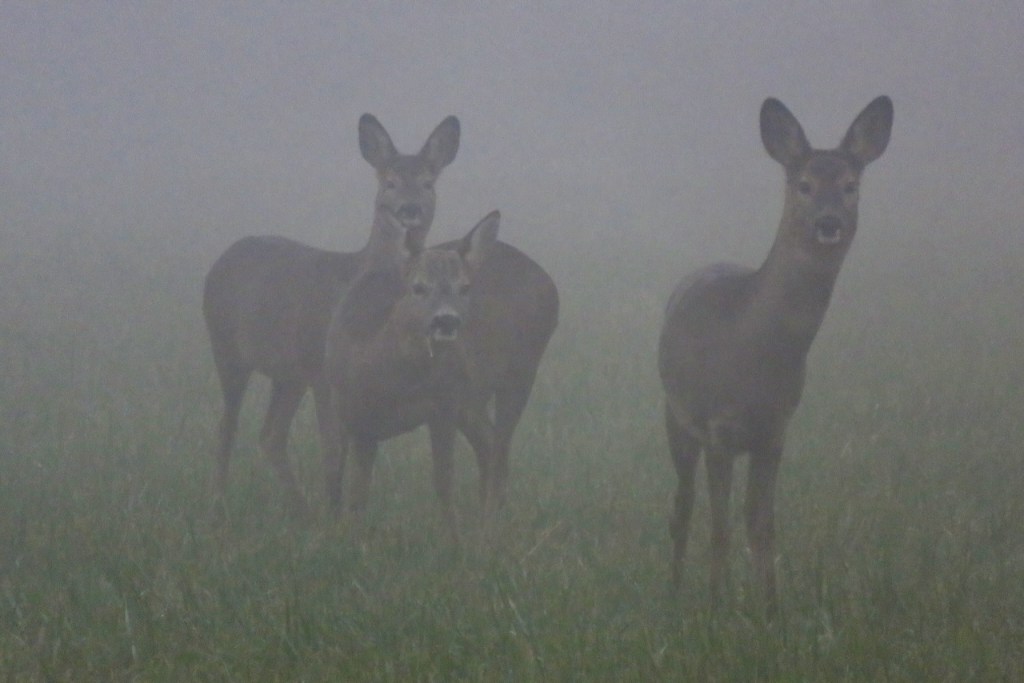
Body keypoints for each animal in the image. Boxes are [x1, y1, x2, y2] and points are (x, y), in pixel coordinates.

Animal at [203, 114, 460, 518]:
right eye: (389, 182)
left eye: (428, 183)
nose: (409, 211)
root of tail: (221, 260)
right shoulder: (326, 375)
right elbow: (333, 451)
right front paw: (336, 515)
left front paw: (339, 511)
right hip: (227, 347)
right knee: (227, 426)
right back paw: (218, 501)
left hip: (289, 374)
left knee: (271, 435)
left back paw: (302, 510)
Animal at [322, 211, 501, 539]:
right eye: (418, 287)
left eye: (465, 287)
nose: (446, 320)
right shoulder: (358, 416)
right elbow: (356, 489)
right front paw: (349, 537)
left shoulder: (444, 405)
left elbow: (443, 478)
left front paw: (453, 537)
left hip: (468, 396)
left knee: (491, 441)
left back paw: (490, 518)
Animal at [658, 96, 893, 613]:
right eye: (803, 184)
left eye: (851, 186)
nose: (829, 223)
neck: (756, 351)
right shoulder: (718, 425)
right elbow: (721, 527)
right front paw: (715, 607)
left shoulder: (776, 429)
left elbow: (762, 524)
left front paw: (770, 609)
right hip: (675, 414)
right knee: (682, 506)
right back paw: (676, 592)